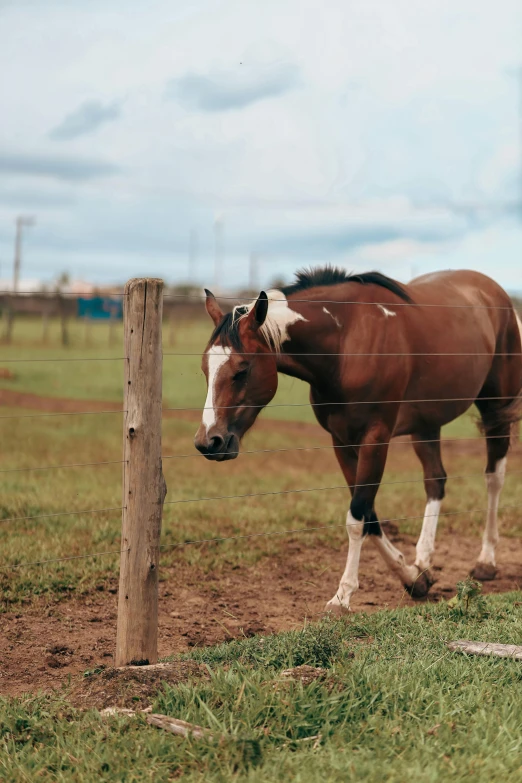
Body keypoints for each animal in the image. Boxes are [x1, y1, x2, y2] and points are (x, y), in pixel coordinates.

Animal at [192, 270, 520, 612]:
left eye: (241, 370)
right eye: (205, 368)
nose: (209, 442)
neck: (346, 341)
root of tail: (492, 291)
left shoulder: (375, 439)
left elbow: (358, 515)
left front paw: (342, 596)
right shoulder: (342, 441)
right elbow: (369, 515)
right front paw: (413, 578)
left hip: (495, 407)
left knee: (494, 477)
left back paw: (486, 561)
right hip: (426, 425)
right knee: (436, 480)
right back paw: (424, 561)